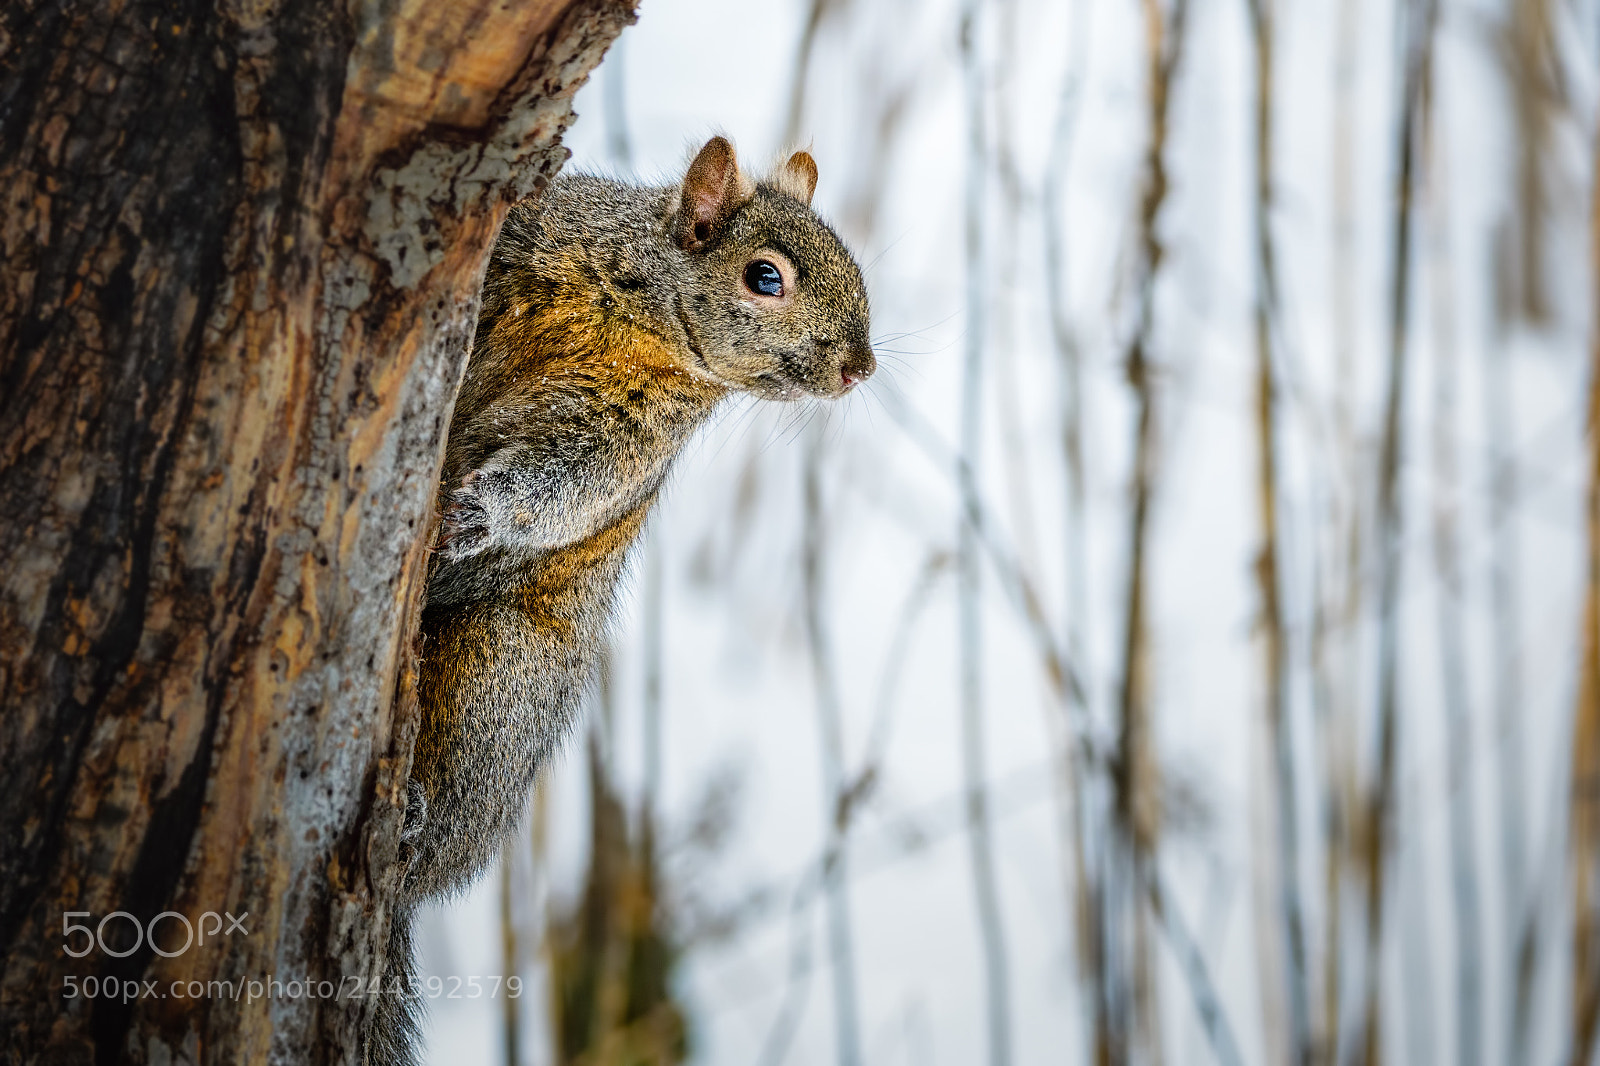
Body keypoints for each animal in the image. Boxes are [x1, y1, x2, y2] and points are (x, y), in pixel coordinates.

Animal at [366, 136, 874, 1065]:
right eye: (766, 277)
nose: (862, 367)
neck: (639, 319)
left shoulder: (631, 428)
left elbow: (571, 481)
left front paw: (481, 511)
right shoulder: (534, 244)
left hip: (500, 681)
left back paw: (415, 819)